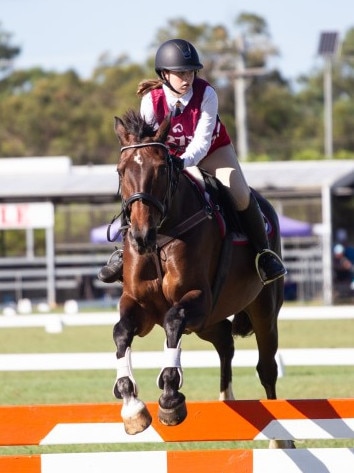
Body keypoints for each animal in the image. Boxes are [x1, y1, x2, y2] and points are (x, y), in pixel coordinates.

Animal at [112, 108, 292, 446]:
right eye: (120, 171)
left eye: (161, 169)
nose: (141, 236)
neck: (162, 233)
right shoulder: (139, 305)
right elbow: (121, 332)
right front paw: (131, 406)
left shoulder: (196, 298)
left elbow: (173, 321)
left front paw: (170, 399)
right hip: (207, 322)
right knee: (224, 341)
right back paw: (226, 400)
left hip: (263, 310)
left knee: (266, 368)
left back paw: (279, 438)